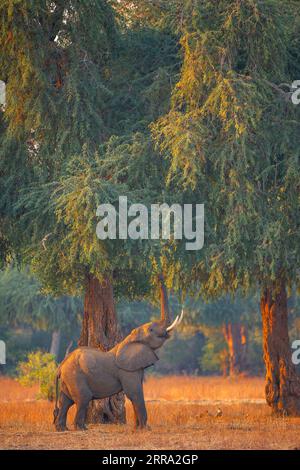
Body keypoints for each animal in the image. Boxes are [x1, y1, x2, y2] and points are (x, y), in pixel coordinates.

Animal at [53, 278, 183, 432]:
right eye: (151, 329)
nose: (158, 276)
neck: (130, 339)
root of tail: (60, 367)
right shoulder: (127, 371)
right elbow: (134, 393)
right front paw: (145, 429)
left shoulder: (135, 367)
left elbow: (135, 392)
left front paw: (137, 428)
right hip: (75, 376)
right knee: (82, 398)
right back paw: (81, 429)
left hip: (68, 378)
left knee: (66, 400)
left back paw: (62, 429)